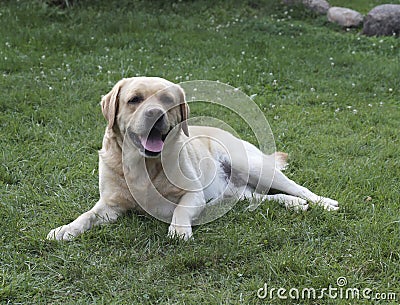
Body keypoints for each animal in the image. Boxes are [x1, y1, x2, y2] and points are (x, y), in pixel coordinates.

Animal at [48, 76, 340, 240]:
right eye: (134, 100)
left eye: (167, 100)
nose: (155, 114)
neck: (146, 165)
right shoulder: (109, 206)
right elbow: (86, 216)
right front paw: (65, 229)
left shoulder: (193, 195)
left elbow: (180, 209)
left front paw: (179, 230)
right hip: (238, 191)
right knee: (263, 197)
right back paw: (292, 204)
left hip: (252, 167)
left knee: (299, 188)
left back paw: (323, 203)